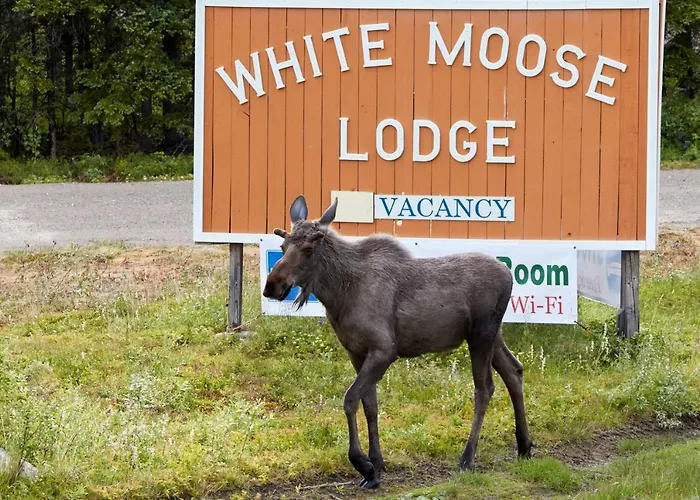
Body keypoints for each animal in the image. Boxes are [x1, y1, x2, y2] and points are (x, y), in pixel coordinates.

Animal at [263, 195, 534, 489]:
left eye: (309, 248)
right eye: (283, 246)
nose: (272, 285)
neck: (339, 295)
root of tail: (509, 274)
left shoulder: (384, 350)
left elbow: (349, 399)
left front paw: (363, 464)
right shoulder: (357, 352)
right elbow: (370, 404)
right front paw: (376, 466)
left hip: (481, 335)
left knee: (485, 389)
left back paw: (467, 459)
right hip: (492, 335)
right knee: (514, 370)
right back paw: (524, 445)